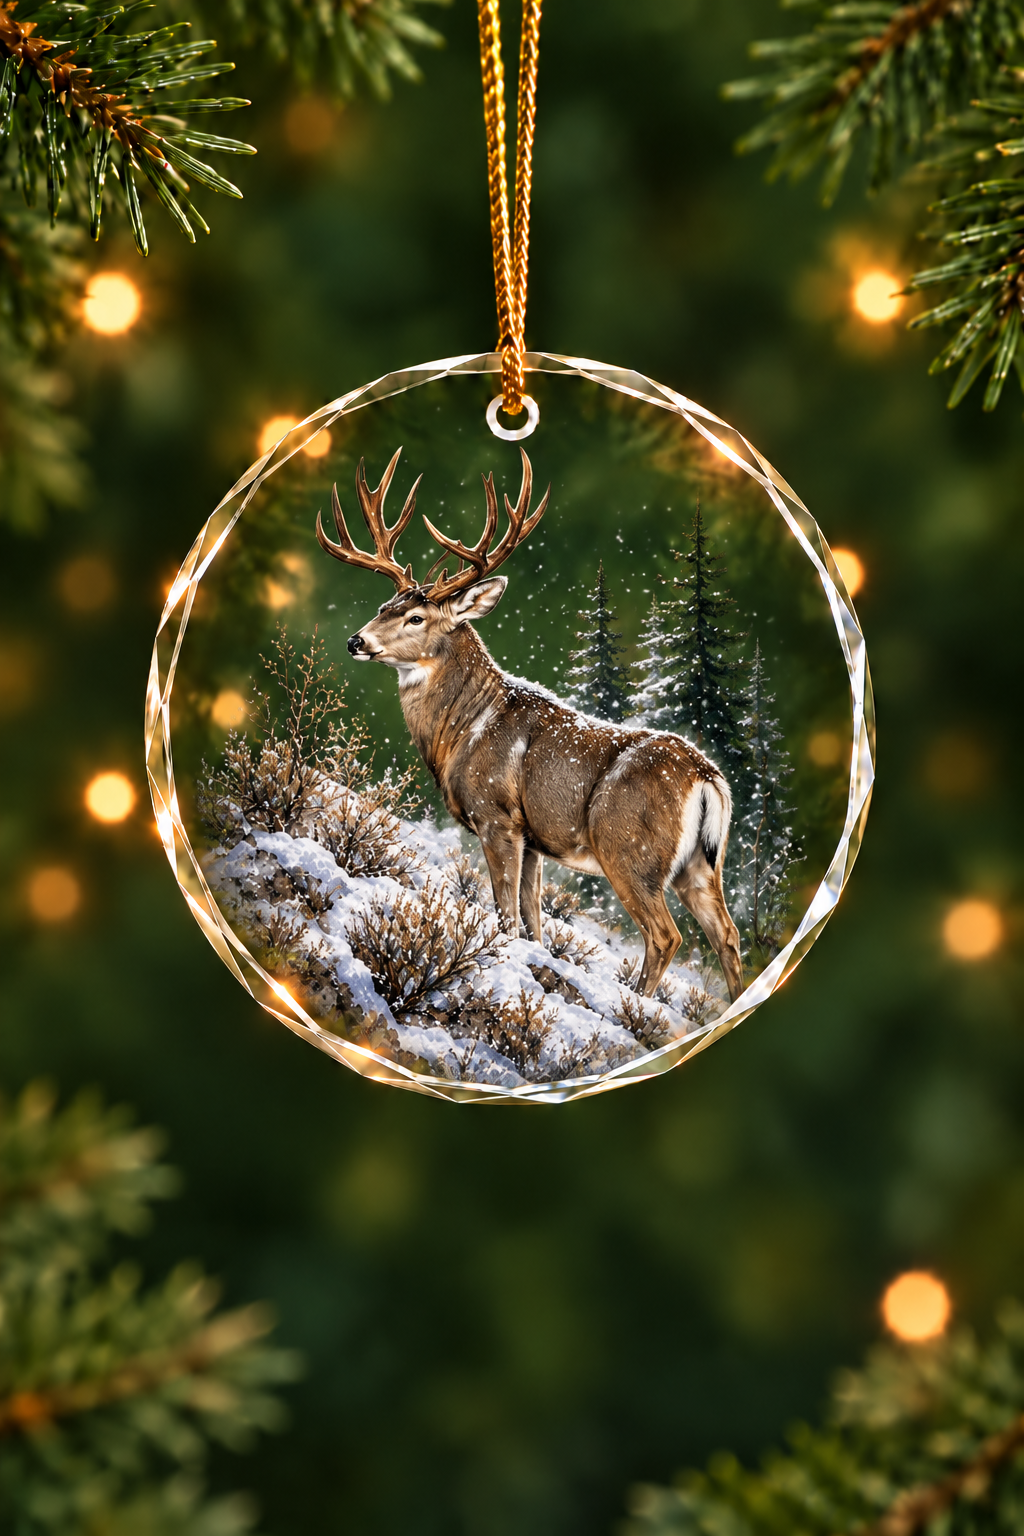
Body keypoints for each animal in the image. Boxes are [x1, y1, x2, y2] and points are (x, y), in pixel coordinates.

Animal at [316, 447, 744, 1003]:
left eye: (416, 619)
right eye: (385, 605)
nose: (356, 641)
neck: (462, 731)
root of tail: (708, 779)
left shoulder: (497, 816)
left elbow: (506, 916)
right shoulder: (535, 838)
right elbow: (534, 922)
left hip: (628, 850)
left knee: (665, 935)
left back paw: (637, 1002)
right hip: (701, 864)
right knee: (727, 935)